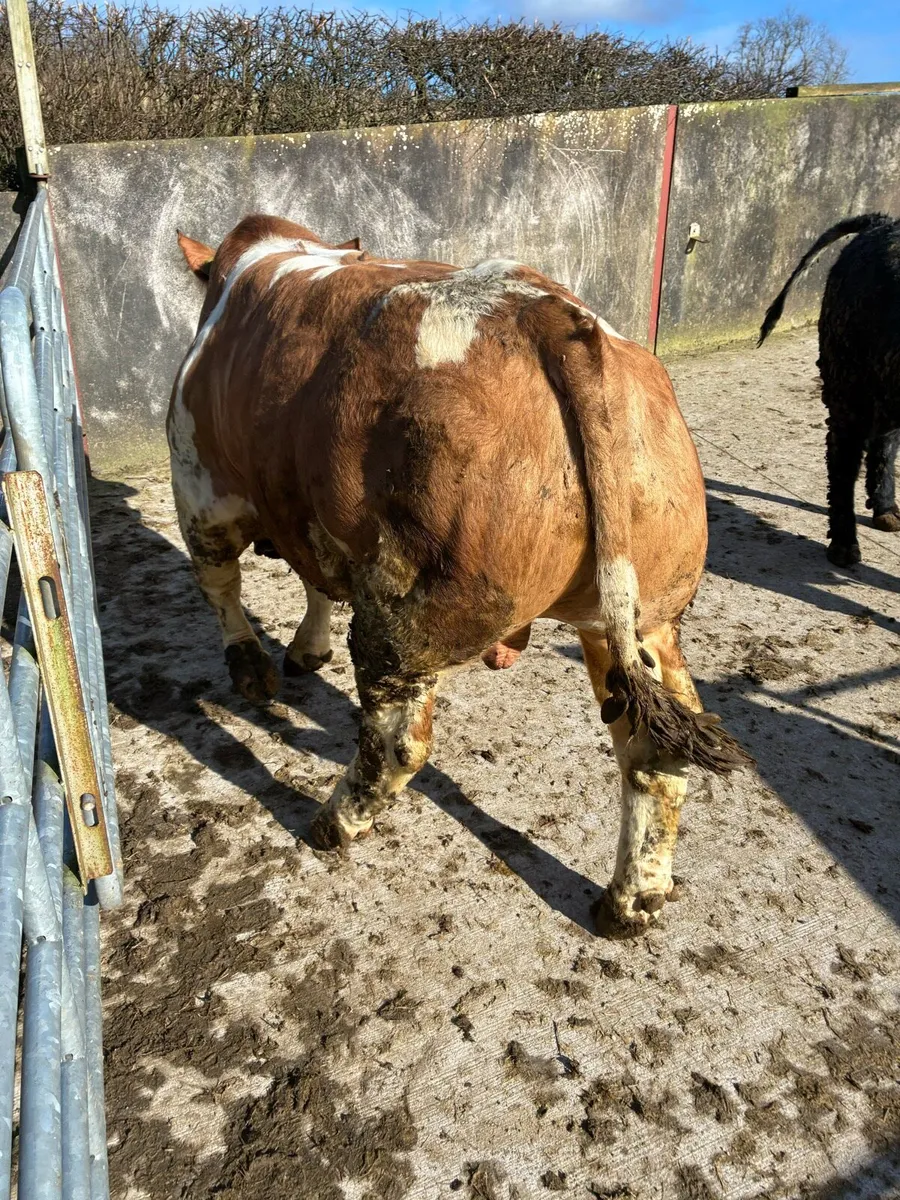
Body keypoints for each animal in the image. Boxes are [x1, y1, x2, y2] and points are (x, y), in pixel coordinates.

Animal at [169, 213, 751, 936]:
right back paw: (630, 901)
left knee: (398, 744)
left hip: (404, 618)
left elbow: (223, 587)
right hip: (639, 620)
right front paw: (307, 647)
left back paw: (333, 824)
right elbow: (313, 581)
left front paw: (254, 667)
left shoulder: (202, 492)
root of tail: (551, 316)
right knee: (656, 755)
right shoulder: (305, 516)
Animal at [759, 213, 900, 567]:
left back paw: (886, 510)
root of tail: (880, 221)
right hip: (848, 381)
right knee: (843, 460)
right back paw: (844, 545)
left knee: (882, 441)